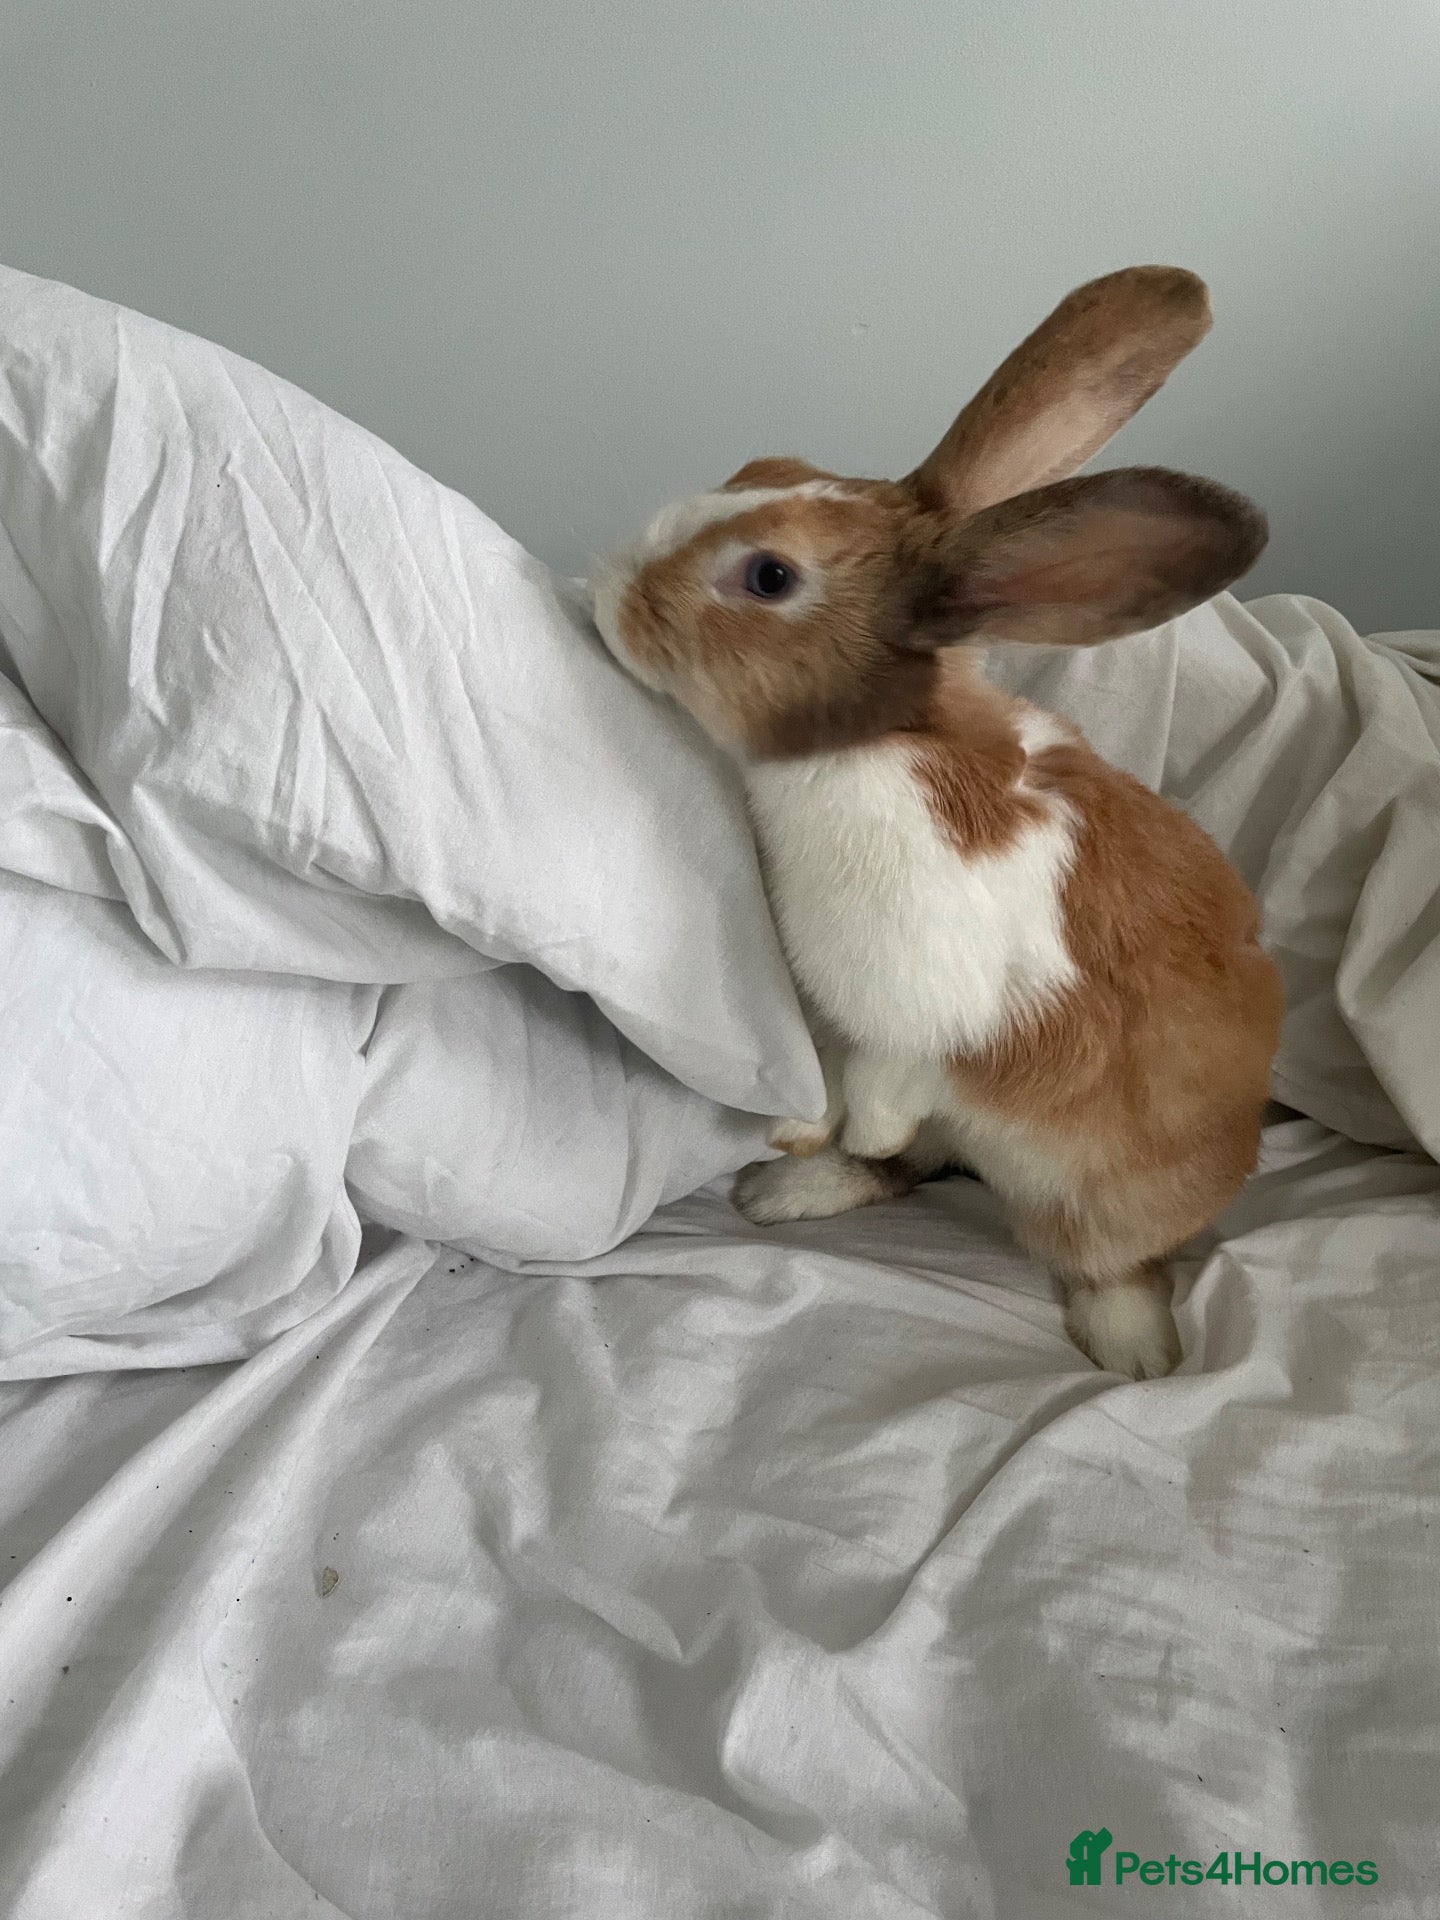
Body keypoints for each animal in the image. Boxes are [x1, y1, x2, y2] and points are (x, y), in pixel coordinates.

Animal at [588, 266, 1284, 1381]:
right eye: (764, 464)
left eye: (770, 576)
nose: (608, 590)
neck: (876, 747)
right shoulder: (829, 1008)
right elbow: (835, 1081)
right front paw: (800, 1135)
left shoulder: (927, 1001)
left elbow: (892, 1074)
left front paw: (845, 1128)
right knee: (914, 1168)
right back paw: (785, 1191)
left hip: (1102, 1199)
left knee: (1105, 1253)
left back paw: (1136, 1352)